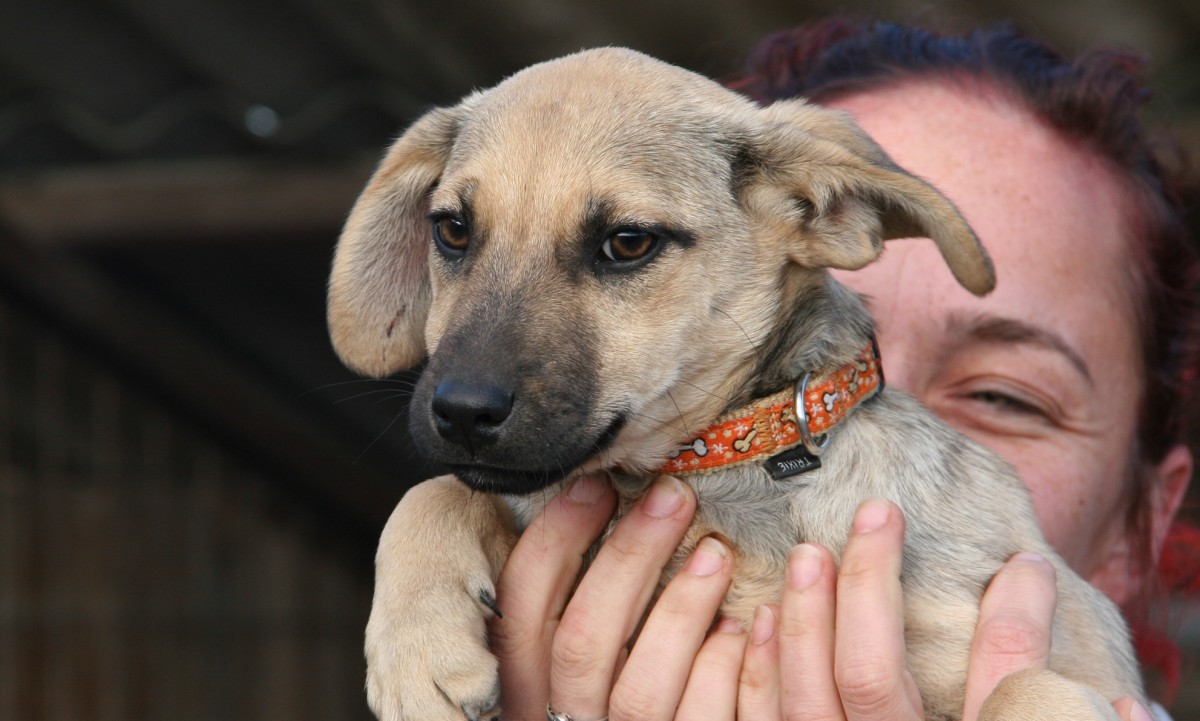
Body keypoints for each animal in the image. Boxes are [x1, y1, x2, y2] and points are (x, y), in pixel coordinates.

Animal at [326, 47, 1142, 715]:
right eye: (452, 230)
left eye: (627, 242)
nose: (460, 411)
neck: (724, 468)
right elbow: (435, 493)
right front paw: (416, 656)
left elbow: (1021, 687)